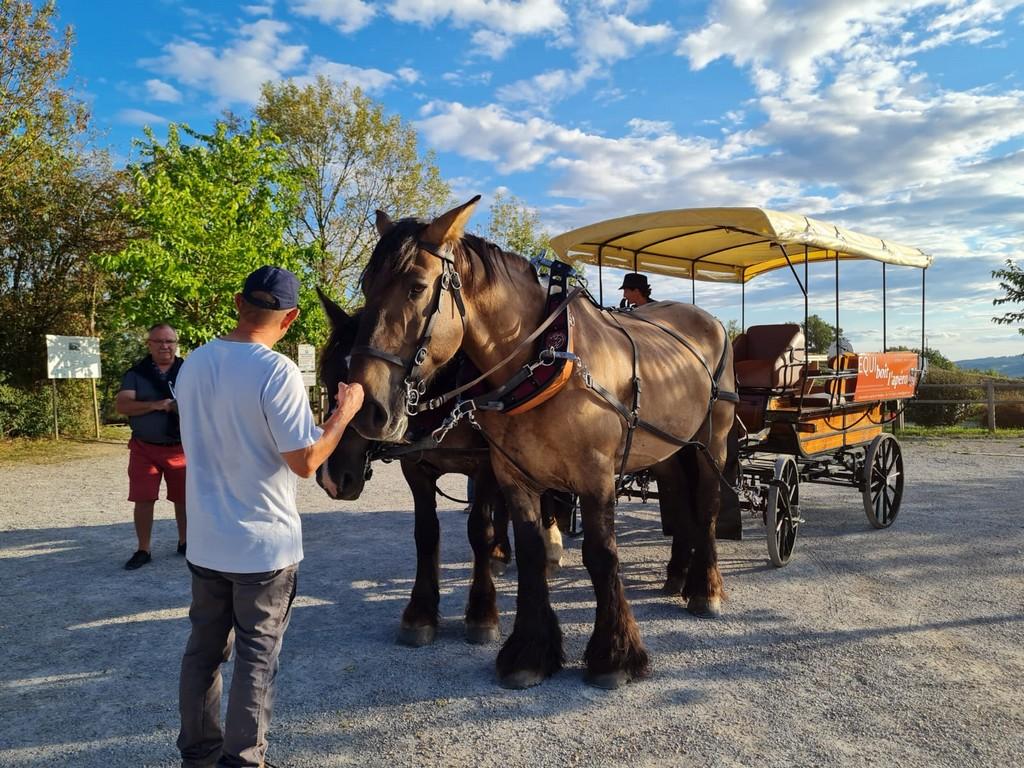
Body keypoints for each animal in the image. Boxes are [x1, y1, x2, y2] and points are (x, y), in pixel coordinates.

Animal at [313, 294, 569, 651]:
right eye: (327, 376)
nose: (332, 477)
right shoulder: (416, 467)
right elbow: (426, 532)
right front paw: (420, 612)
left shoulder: (486, 464)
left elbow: (478, 530)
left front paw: (481, 612)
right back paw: (501, 553)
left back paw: (551, 547)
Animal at [350, 198, 737, 692]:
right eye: (366, 287)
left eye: (417, 287)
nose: (367, 405)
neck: (543, 361)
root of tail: (709, 319)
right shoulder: (513, 474)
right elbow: (531, 553)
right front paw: (530, 652)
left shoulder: (595, 476)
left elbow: (601, 555)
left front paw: (614, 656)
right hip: (665, 446)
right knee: (679, 500)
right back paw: (677, 576)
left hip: (712, 441)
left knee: (706, 505)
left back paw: (705, 588)